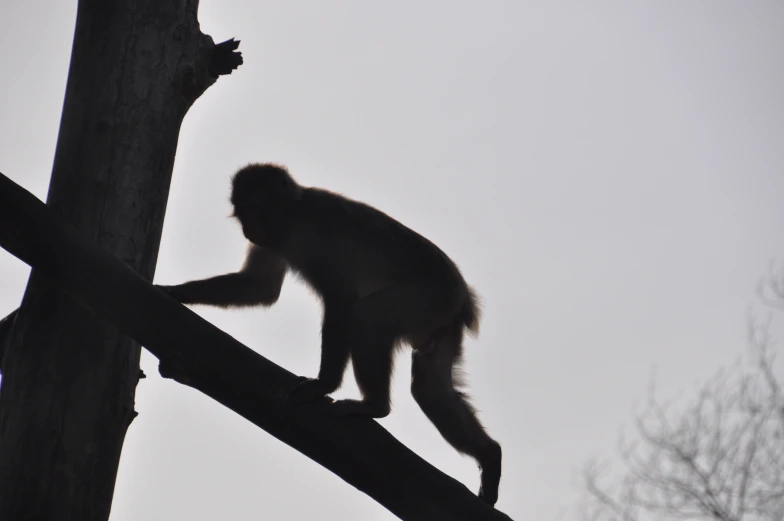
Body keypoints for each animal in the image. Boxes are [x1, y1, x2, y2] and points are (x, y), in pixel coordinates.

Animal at [158, 162, 502, 504]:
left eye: (255, 207)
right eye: (241, 210)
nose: (248, 228)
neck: (292, 215)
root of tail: (463, 299)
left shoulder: (311, 236)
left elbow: (341, 300)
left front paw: (323, 385)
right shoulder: (277, 240)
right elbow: (260, 287)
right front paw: (175, 292)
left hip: (429, 297)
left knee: (366, 318)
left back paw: (375, 406)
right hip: (440, 320)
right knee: (429, 388)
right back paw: (490, 455)